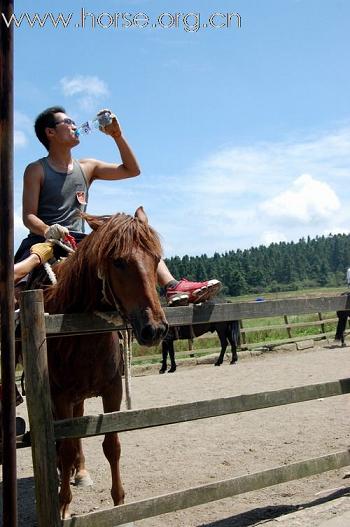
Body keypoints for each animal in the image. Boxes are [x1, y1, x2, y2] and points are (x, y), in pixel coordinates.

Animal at [23, 207, 168, 520]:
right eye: (119, 261)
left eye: (156, 259)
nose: (155, 329)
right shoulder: (60, 395)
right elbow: (65, 449)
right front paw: (63, 505)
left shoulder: (112, 391)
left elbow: (112, 445)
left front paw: (119, 502)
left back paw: (80, 471)